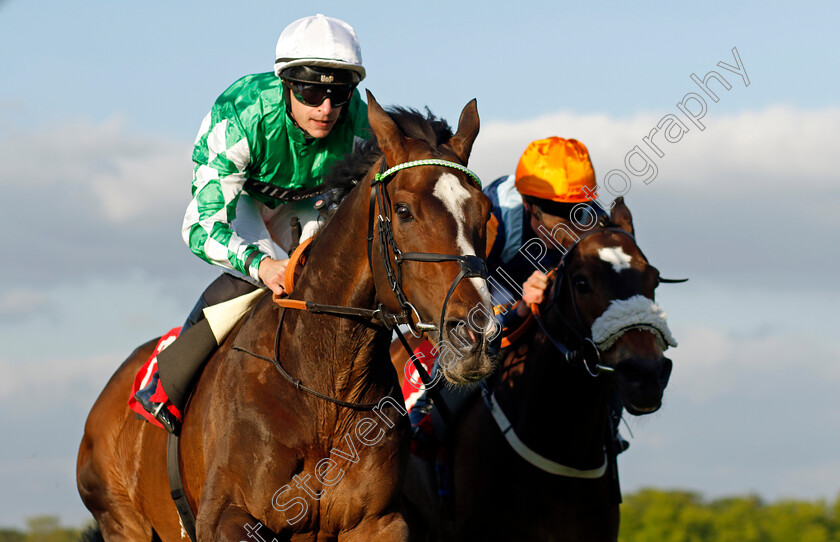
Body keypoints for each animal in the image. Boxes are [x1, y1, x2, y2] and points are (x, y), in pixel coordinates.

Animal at [75, 91, 496, 540]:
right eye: (403, 211)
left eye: (484, 211)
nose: (476, 333)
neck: (323, 388)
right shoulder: (225, 516)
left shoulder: (378, 521)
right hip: (121, 520)